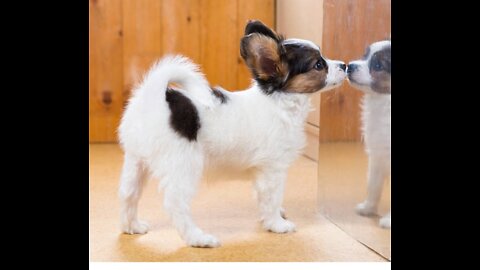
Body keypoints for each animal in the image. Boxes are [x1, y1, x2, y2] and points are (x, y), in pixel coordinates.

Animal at [118, 20, 346, 248]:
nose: (344, 65)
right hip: (183, 166)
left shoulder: (262, 171)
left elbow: (263, 197)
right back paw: (198, 238)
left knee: (128, 194)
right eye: (319, 65)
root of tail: (154, 98)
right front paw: (276, 224)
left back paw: (131, 226)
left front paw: (273, 216)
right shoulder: (273, 169)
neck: (279, 103)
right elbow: (272, 198)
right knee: (175, 204)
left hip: (136, 162)